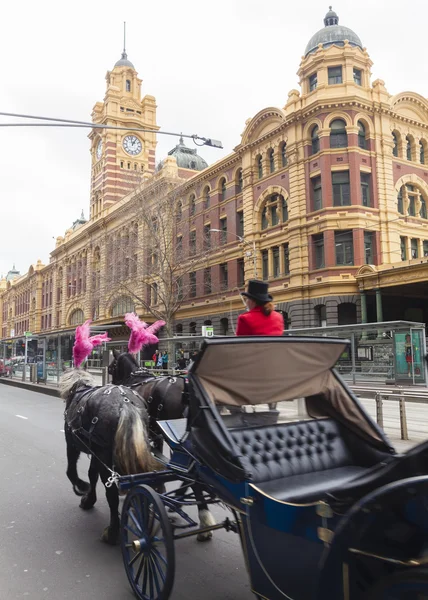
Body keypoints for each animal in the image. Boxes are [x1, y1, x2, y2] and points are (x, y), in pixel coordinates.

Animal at [58, 368, 155, 548]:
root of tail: (124, 404)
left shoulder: (72, 444)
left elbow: (71, 471)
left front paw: (82, 487)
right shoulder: (96, 453)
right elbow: (91, 474)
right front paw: (89, 499)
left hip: (104, 455)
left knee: (112, 495)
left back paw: (112, 532)